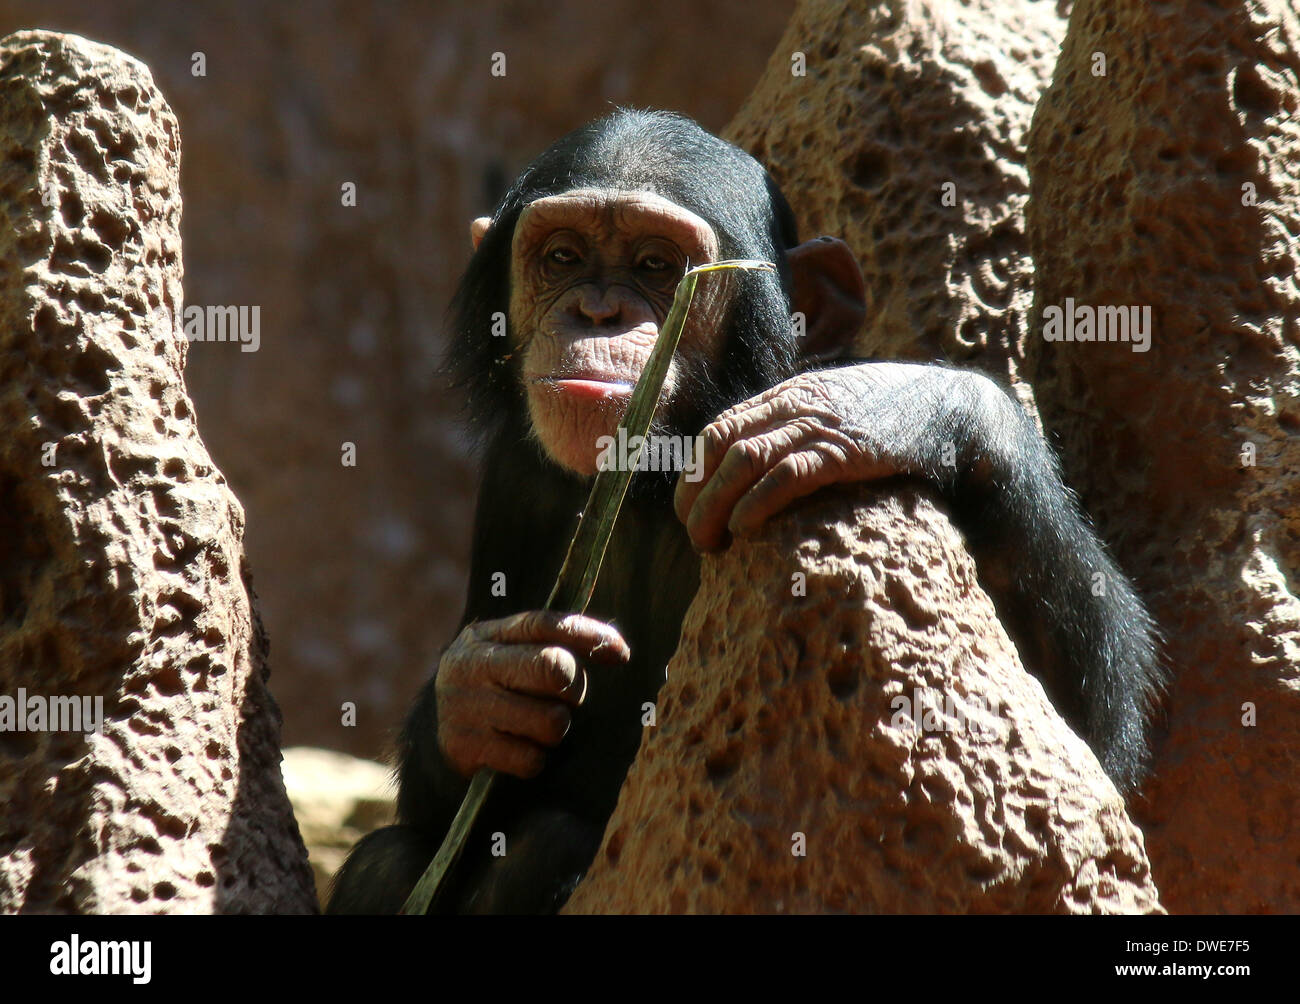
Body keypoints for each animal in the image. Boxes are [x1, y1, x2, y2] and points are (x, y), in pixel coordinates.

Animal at [330, 105, 1164, 915]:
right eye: (562, 257)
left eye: (658, 266)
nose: (596, 313)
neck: (652, 482)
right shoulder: (513, 480)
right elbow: (455, 817)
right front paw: (482, 693)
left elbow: (1084, 766)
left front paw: (882, 404)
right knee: (387, 860)